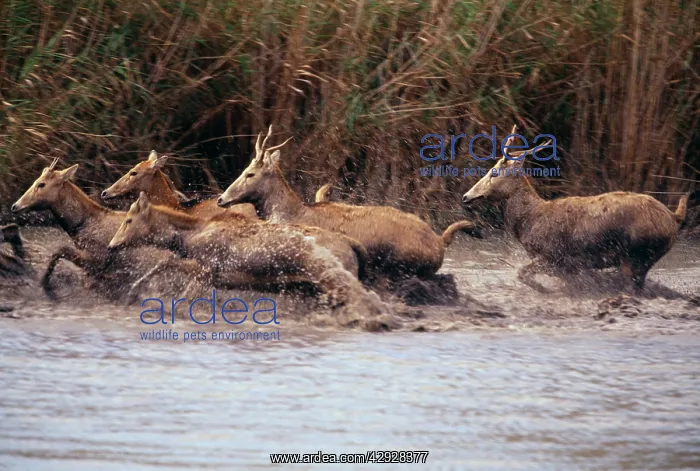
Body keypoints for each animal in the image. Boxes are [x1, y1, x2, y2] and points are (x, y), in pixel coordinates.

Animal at [10, 160, 200, 300]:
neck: (81, 223)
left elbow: (60, 249)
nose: (15, 206)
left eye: (41, 184)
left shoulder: (98, 260)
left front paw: (45, 282)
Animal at [108, 192, 384, 313]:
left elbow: (179, 290)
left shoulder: (206, 270)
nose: (112, 244)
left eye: (129, 220)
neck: (186, 237)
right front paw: (132, 292)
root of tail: (352, 245)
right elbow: (165, 263)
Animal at [462, 124, 692, 292]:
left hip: (637, 255)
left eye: (493, 172)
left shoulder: (553, 257)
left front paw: (545, 290)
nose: (466, 196)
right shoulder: (568, 267)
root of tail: (674, 216)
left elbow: (522, 274)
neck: (529, 221)